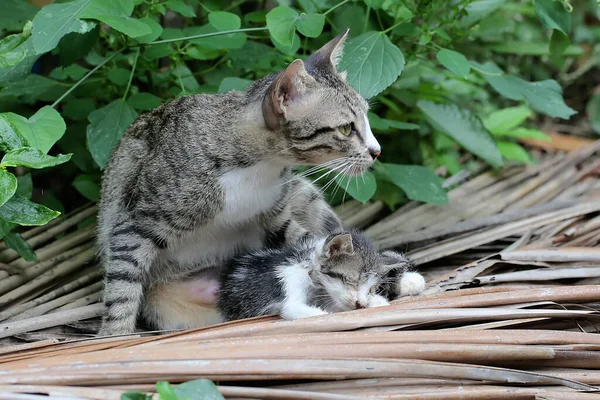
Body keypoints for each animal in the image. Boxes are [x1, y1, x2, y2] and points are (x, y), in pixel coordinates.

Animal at [96, 28, 382, 334]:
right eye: (346, 128)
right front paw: (115, 334)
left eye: (367, 118)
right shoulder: (137, 222)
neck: (258, 169)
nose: (377, 151)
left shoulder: (277, 216)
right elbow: (122, 284)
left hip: (302, 191)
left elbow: (308, 242)